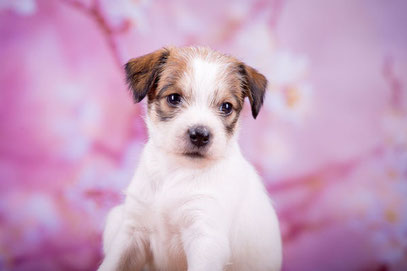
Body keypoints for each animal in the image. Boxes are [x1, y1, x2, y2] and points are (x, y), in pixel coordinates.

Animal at [99, 47, 284, 271]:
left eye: (226, 107)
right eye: (174, 98)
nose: (200, 135)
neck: (176, 172)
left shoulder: (206, 239)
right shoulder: (133, 231)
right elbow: (112, 264)